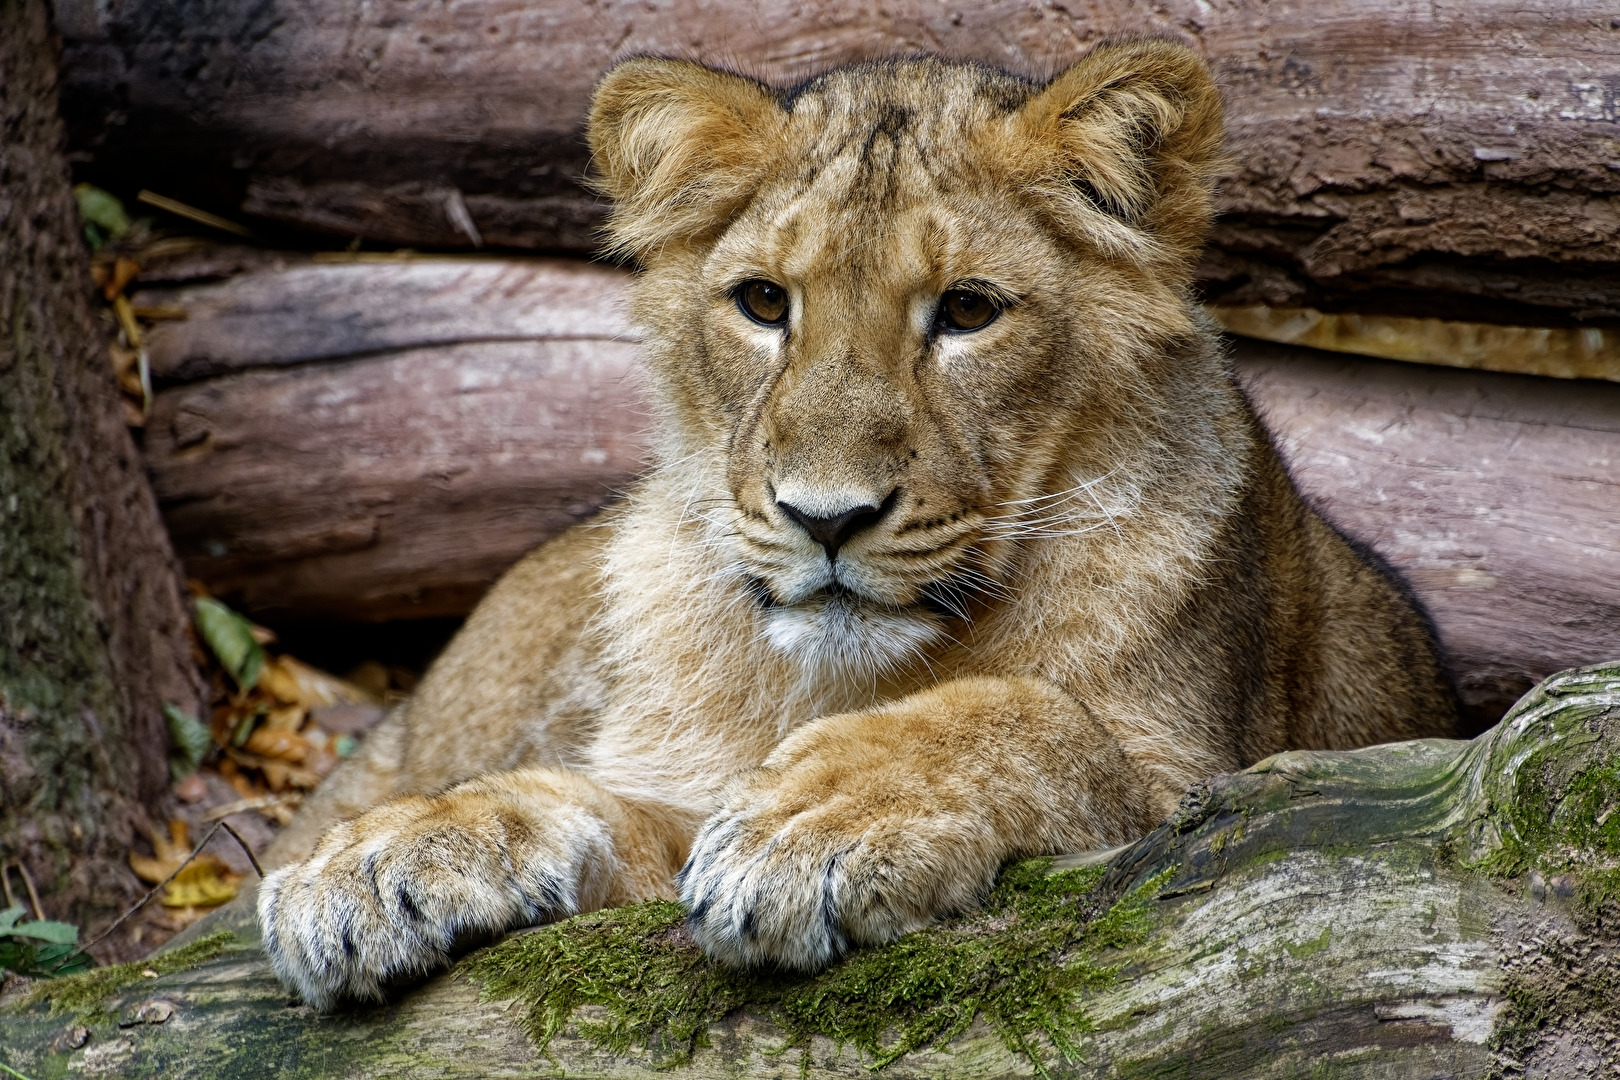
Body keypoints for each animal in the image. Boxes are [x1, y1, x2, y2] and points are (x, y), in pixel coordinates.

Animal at [258, 41, 1458, 1009]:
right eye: (762, 303)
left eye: (968, 311)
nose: (824, 518)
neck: (836, 680)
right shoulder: (674, 792)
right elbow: (596, 806)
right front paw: (389, 858)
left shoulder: (1210, 809)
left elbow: (1029, 718)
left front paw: (820, 819)